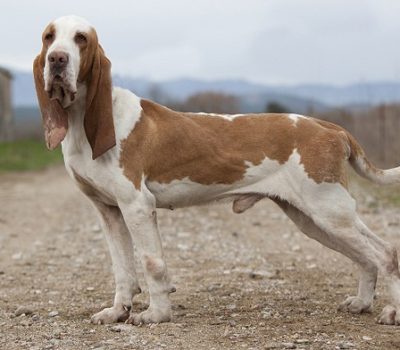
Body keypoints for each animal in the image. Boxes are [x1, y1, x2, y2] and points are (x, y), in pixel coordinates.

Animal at [32, 14, 400, 326]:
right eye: (49, 37)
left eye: (80, 39)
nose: (57, 59)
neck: (83, 120)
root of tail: (330, 127)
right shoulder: (109, 211)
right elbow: (122, 269)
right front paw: (118, 311)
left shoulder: (138, 206)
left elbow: (153, 264)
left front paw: (156, 315)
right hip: (314, 219)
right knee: (367, 257)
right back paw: (362, 303)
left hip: (329, 211)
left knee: (385, 253)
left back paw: (392, 311)